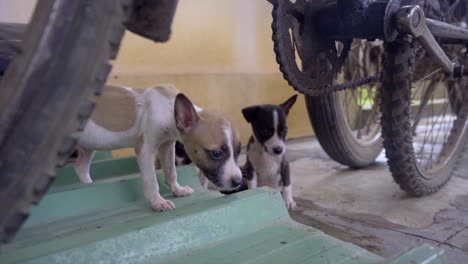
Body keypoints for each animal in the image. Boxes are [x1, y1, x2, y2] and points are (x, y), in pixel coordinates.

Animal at [74, 84, 241, 210]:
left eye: (238, 152)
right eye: (216, 153)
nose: (238, 181)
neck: (168, 107)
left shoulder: (167, 146)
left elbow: (171, 172)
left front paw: (177, 189)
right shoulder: (145, 149)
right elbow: (152, 181)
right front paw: (157, 202)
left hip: (88, 146)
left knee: (81, 167)